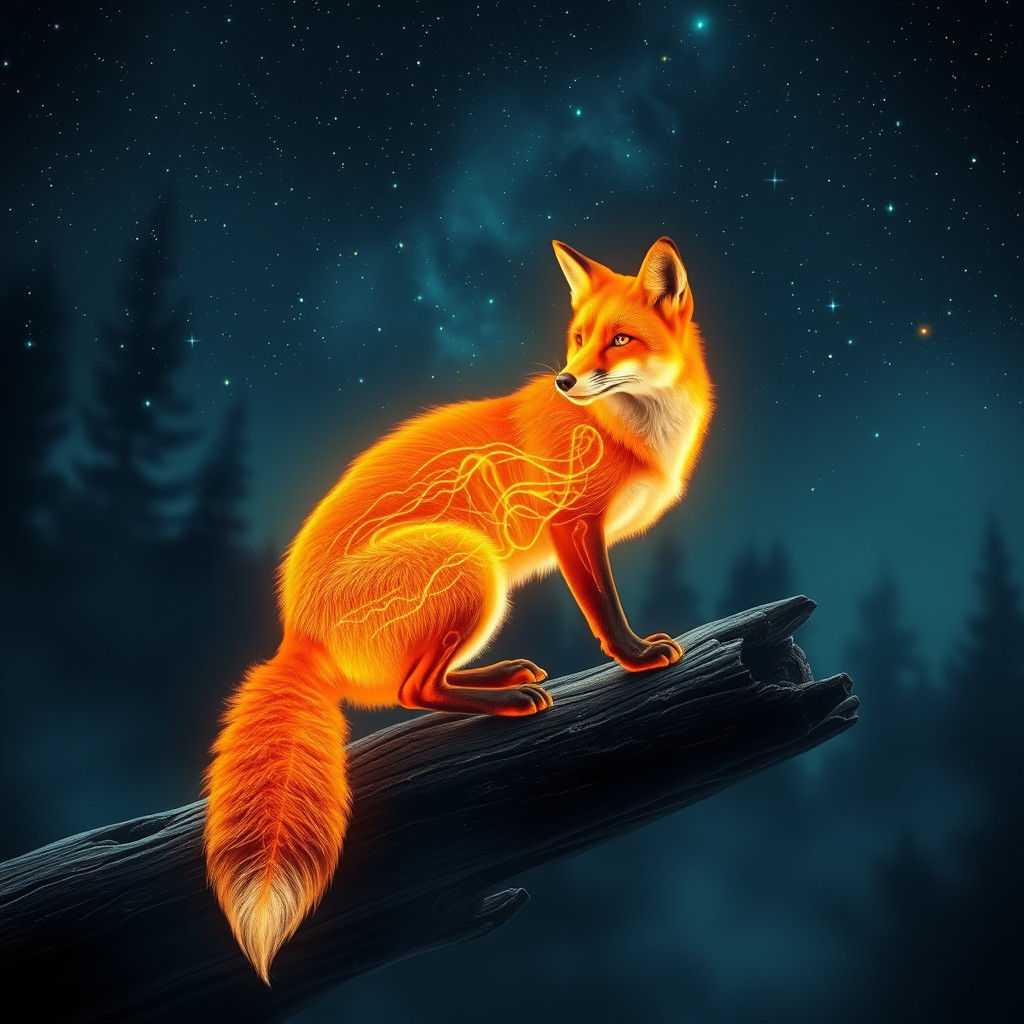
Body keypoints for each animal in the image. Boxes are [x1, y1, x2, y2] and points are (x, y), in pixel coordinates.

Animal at [203, 236, 714, 983]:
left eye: (618, 340)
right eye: (578, 338)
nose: (566, 381)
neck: (629, 430)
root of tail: (297, 631)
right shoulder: (573, 525)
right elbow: (604, 610)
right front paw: (638, 659)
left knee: (421, 684)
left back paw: (501, 678)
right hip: (472, 563)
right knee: (413, 690)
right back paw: (503, 702)